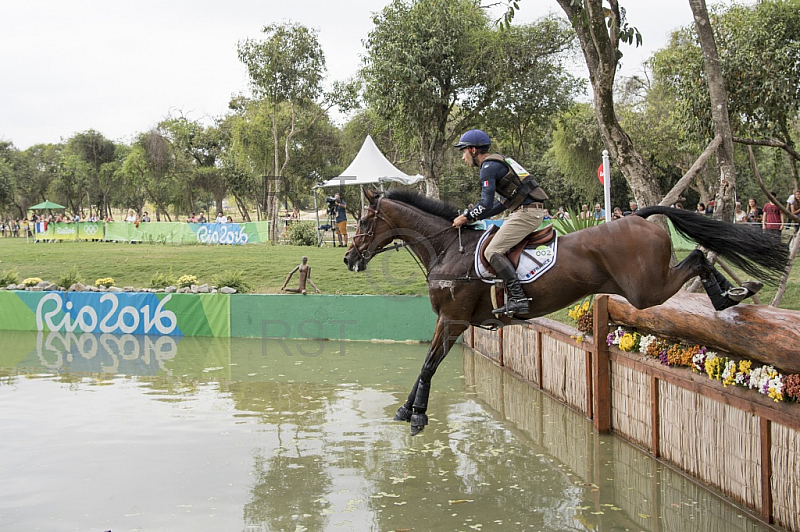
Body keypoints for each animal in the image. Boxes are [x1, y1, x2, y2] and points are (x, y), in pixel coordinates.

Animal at [342, 189, 788, 434]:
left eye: (363, 220)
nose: (348, 258)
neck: (447, 249)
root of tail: (638, 217)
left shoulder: (452, 321)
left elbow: (429, 365)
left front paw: (416, 414)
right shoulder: (449, 322)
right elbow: (427, 364)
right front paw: (407, 409)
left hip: (646, 290)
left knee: (695, 256)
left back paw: (731, 294)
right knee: (696, 257)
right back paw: (733, 293)